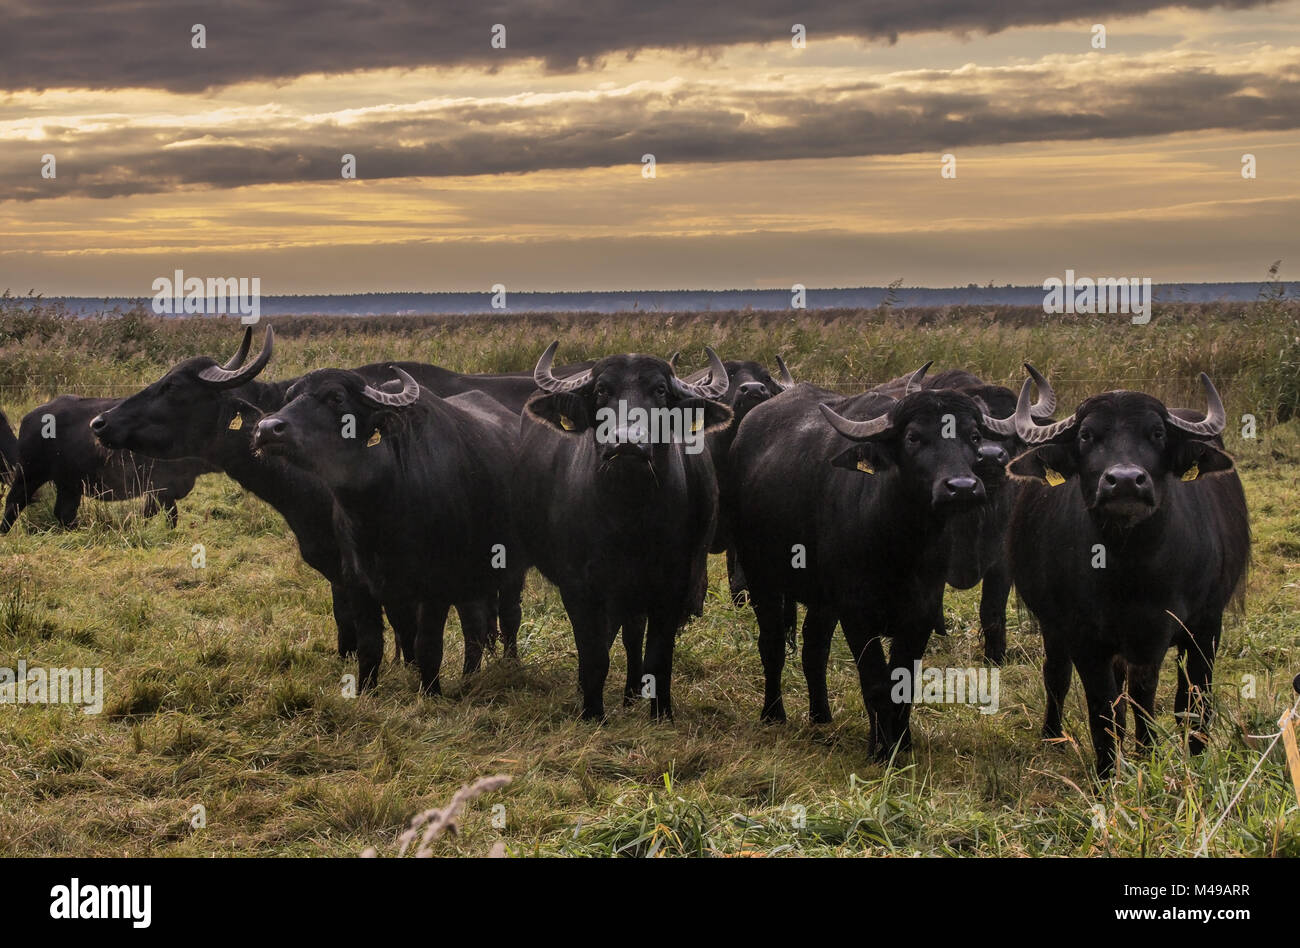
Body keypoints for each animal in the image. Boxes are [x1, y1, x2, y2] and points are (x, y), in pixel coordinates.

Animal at [248, 364, 522, 697]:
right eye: (290, 397)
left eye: (336, 397)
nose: (266, 429)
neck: (378, 510)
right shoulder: (358, 581)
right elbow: (371, 644)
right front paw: (366, 689)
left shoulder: (436, 585)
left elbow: (427, 644)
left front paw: (431, 692)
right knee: (476, 622)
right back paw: (470, 675)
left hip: (510, 566)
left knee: (509, 616)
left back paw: (510, 665)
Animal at [512, 343, 733, 723]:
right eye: (602, 389)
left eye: (660, 390)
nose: (627, 443)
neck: (628, 517)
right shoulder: (578, 588)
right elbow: (594, 655)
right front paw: (592, 712)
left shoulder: (671, 587)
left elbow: (658, 657)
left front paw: (661, 713)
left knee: (633, 634)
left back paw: (632, 693)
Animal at [733, 366, 1003, 759]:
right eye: (913, 437)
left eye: (974, 435)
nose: (963, 487)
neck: (900, 546)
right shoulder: (857, 613)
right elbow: (875, 682)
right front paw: (882, 750)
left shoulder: (921, 613)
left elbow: (903, 682)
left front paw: (901, 743)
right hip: (761, 577)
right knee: (771, 644)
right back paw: (773, 714)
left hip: (823, 600)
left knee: (814, 648)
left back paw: (821, 716)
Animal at [868, 366, 1060, 663]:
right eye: (973, 433)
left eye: (1013, 432)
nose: (991, 456)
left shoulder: (1001, 559)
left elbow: (991, 610)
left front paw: (995, 656)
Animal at [1003, 366, 1248, 775]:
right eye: (1086, 435)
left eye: (1158, 433)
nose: (1125, 481)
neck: (1129, 570)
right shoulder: (1084, 636)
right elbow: (1103, 711)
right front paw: (1108, 774)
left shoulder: (1198, 627)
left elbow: (1179, 703)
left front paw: (1165, 759)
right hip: (1054, 627)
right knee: (1057, 675)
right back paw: (1053, 737)